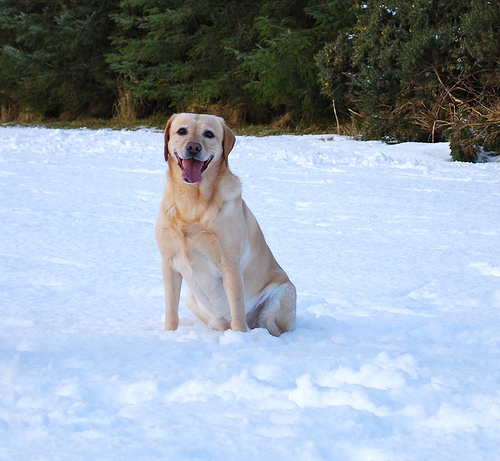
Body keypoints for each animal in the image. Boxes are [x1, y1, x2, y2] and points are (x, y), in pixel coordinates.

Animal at [155, 111, 296, 334]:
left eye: (209, 134)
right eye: (181, 131)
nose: (193, 147)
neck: (192, 202)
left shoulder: (230, 263)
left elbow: (237, 308)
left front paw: (239, 339)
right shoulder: (168, 263)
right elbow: (171, 310)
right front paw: (169, 334)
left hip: (283, 295)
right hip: (192, 300)